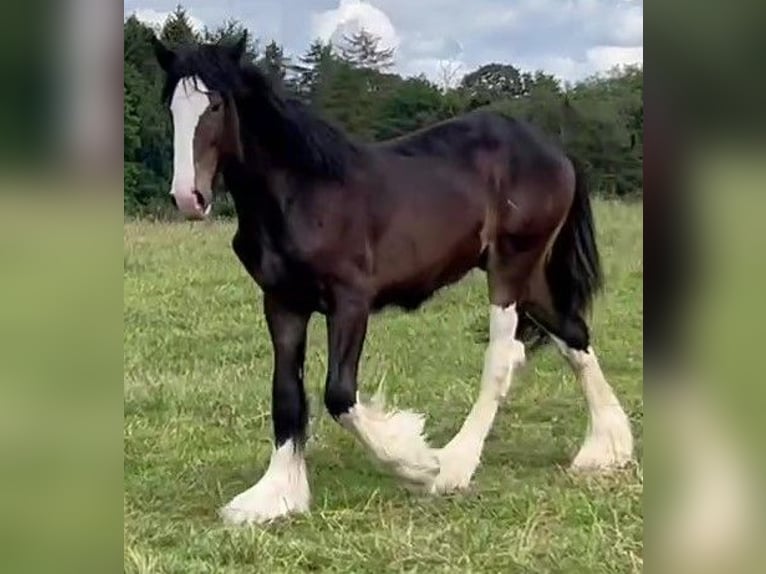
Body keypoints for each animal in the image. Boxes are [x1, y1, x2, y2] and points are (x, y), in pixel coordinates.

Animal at [152, 35, 636, 528]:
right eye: (171, 106)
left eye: (215, 105)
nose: (189, 197)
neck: (302, 193)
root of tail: (554, 151)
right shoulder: (282, 303)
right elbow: (286, 395)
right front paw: (274, 496)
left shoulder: (350, 302)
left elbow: (340, 395)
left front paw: (416, 463)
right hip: (530, 277)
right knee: (573, 334)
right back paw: (607, 448)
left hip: (511, 268)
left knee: (502, 358)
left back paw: (454, 465)